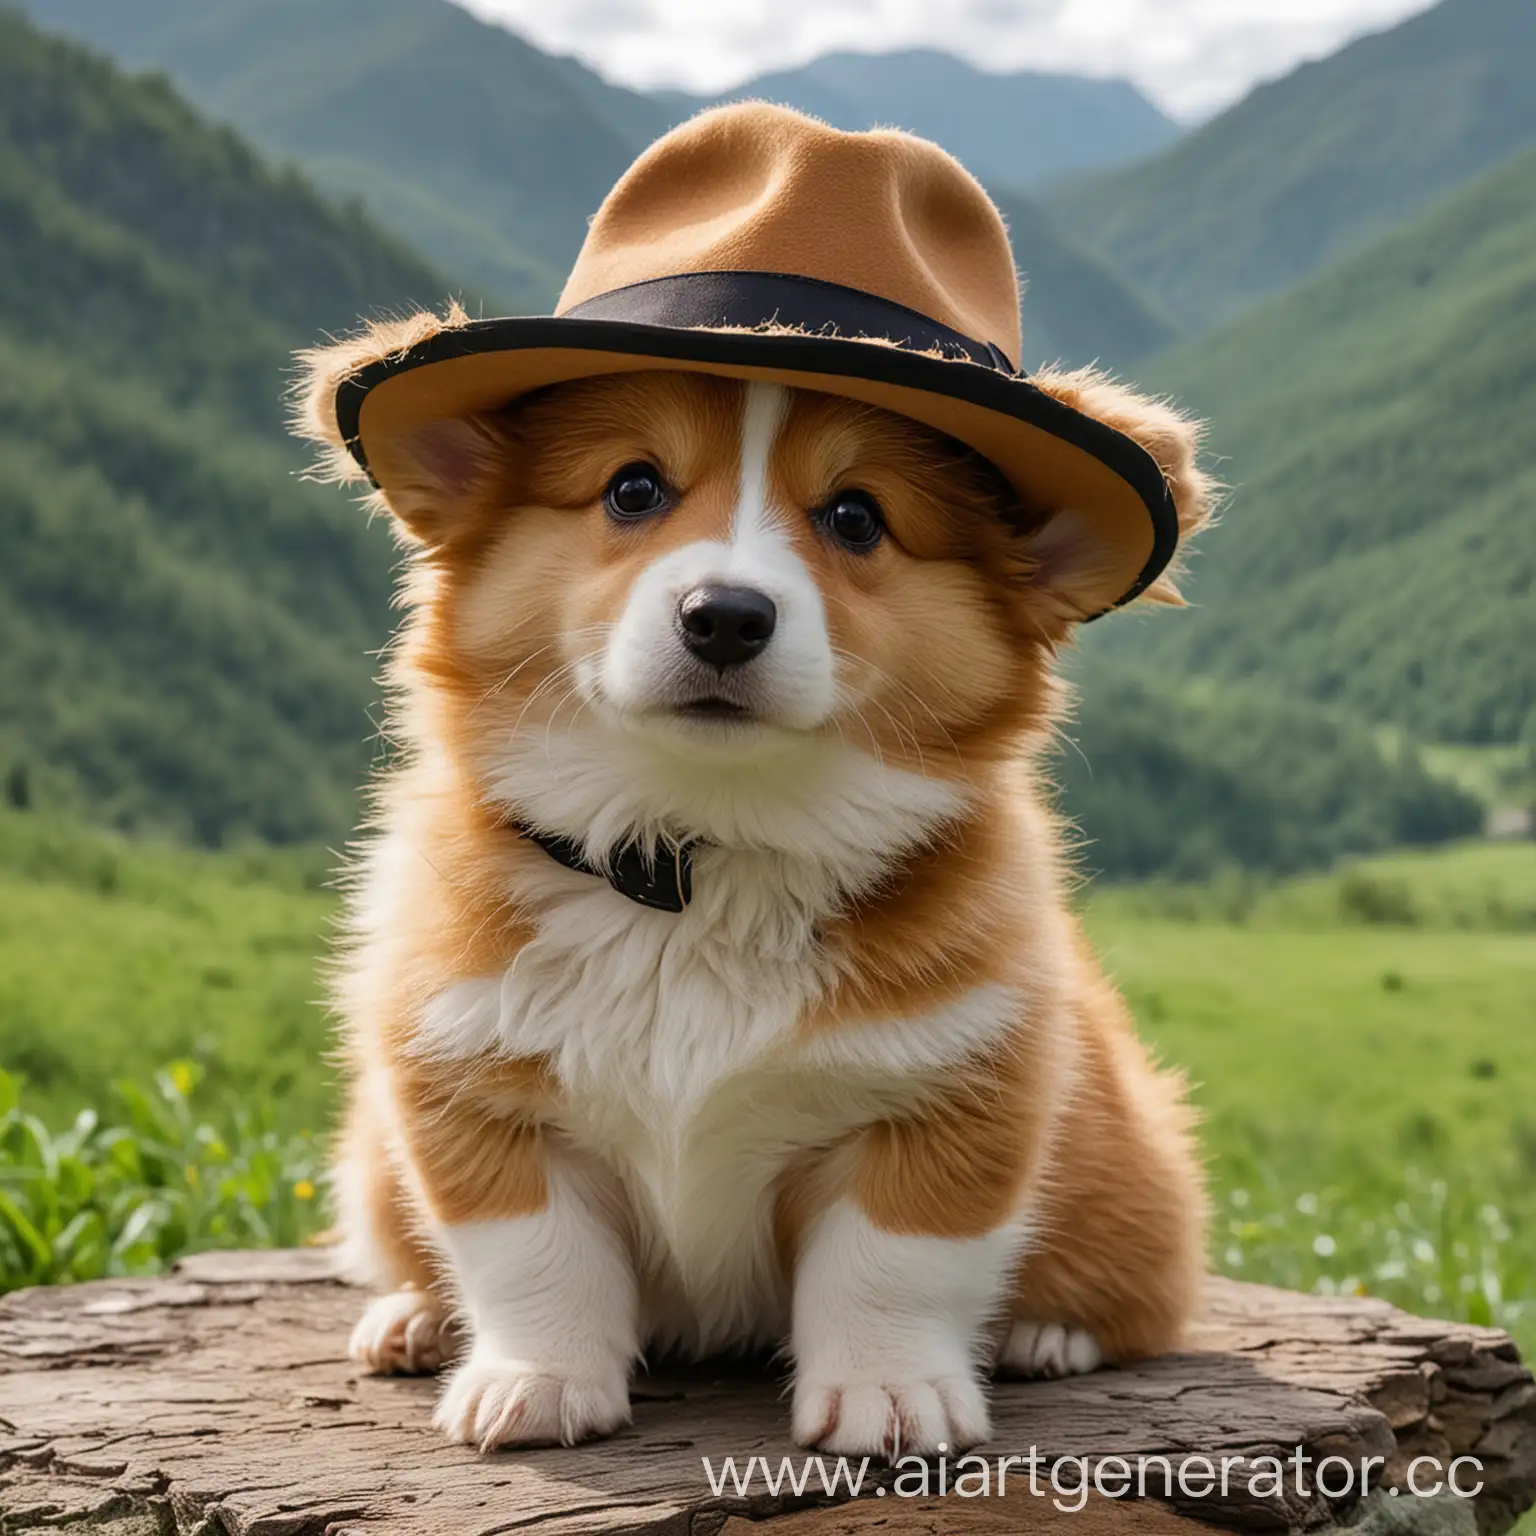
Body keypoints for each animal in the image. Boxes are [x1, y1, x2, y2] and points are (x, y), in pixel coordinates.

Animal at [290, 105, 1210, 1449]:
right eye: (633, 489)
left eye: (858, 518)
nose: (725, 616)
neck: (705, 855)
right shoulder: (469, 1089)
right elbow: (532, 1256)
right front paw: (536, 1382)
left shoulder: (953, 1096)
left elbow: (893, 1262)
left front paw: (888, 1395)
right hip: (368, 1159)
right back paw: (408, 1319)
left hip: (1137, 1171)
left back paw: (1049, 1336)